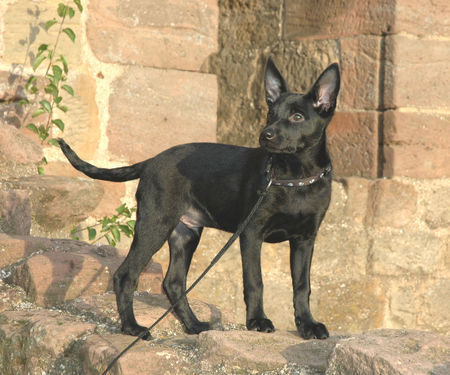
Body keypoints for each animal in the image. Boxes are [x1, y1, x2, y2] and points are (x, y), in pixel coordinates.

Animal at [60, 58, 342, 340]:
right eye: (270, 114)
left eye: (297, 117)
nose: (266, 135)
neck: (295, 176)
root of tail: (151, 161)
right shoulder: (252, 233)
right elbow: (255, 281)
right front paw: (257, 321)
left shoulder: (305, 239)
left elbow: (302, 286)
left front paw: (308, 325)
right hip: (155, 225)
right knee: (125, 275)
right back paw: (132, 327)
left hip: (186, 233)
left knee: (173, 282)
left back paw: (193, 325)